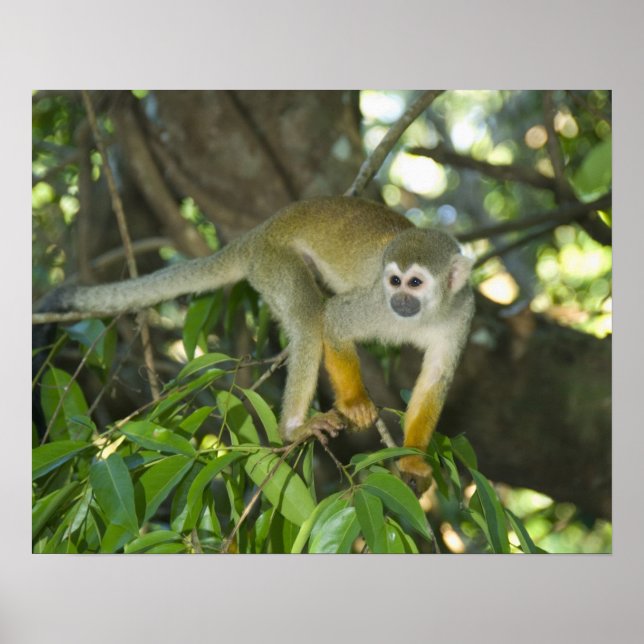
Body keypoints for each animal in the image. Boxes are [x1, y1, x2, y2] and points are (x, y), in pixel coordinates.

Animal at [33, 196, 474, 492]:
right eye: (394, 281)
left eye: (415, 283)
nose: (400, 300)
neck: (424, 314)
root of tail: (260, 232)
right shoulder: (375, 303)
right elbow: (333, 321)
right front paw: (355, 404)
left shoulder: (461, 314)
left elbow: (436, 379)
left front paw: (414, 460)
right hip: (273, 262)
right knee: (309, 317)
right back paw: (294, 428)